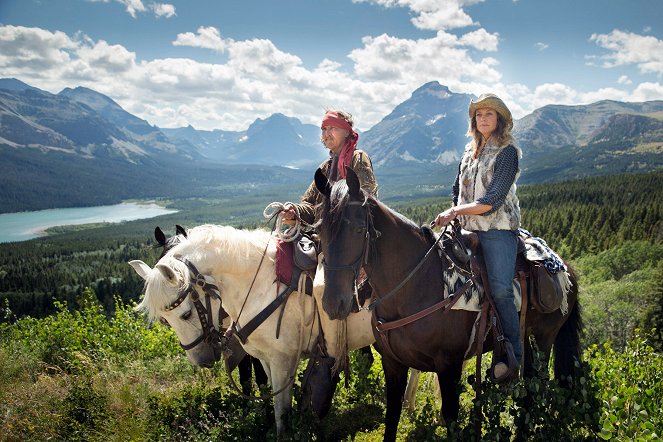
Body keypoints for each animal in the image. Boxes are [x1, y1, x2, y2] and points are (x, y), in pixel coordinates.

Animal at [127, 224, 376, 436]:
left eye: (186, 314)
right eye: (164, 320)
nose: (202, 361)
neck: (260, 285)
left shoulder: (282, 360)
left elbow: (280, 408)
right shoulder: (265, 359)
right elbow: (267, 392)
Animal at [316, 167, 580, 440]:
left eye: (359, 230)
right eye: (319, 231)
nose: (333, 303)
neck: (416, 286)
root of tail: (566, 268)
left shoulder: (449, 366)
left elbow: (450, 416)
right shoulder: (393, 364)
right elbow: (392, 416)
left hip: (544, 337)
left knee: (536, 384)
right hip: (525, 334)